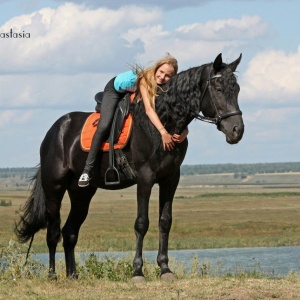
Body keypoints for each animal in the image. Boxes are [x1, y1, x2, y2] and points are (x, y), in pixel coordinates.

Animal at [15, 53, 244, 282]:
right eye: (218, 89)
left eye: (237, 89)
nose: (237, 130)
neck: (161, 122)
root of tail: (54, 131)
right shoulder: (145, 177)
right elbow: (141, 223)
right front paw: (137, 272)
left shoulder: (171, 179)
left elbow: (165, 221)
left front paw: (165, 269)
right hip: (54, 188)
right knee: (52, 232)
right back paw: (52, 274)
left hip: (82, 193)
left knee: (69, 232)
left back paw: (73, 275)